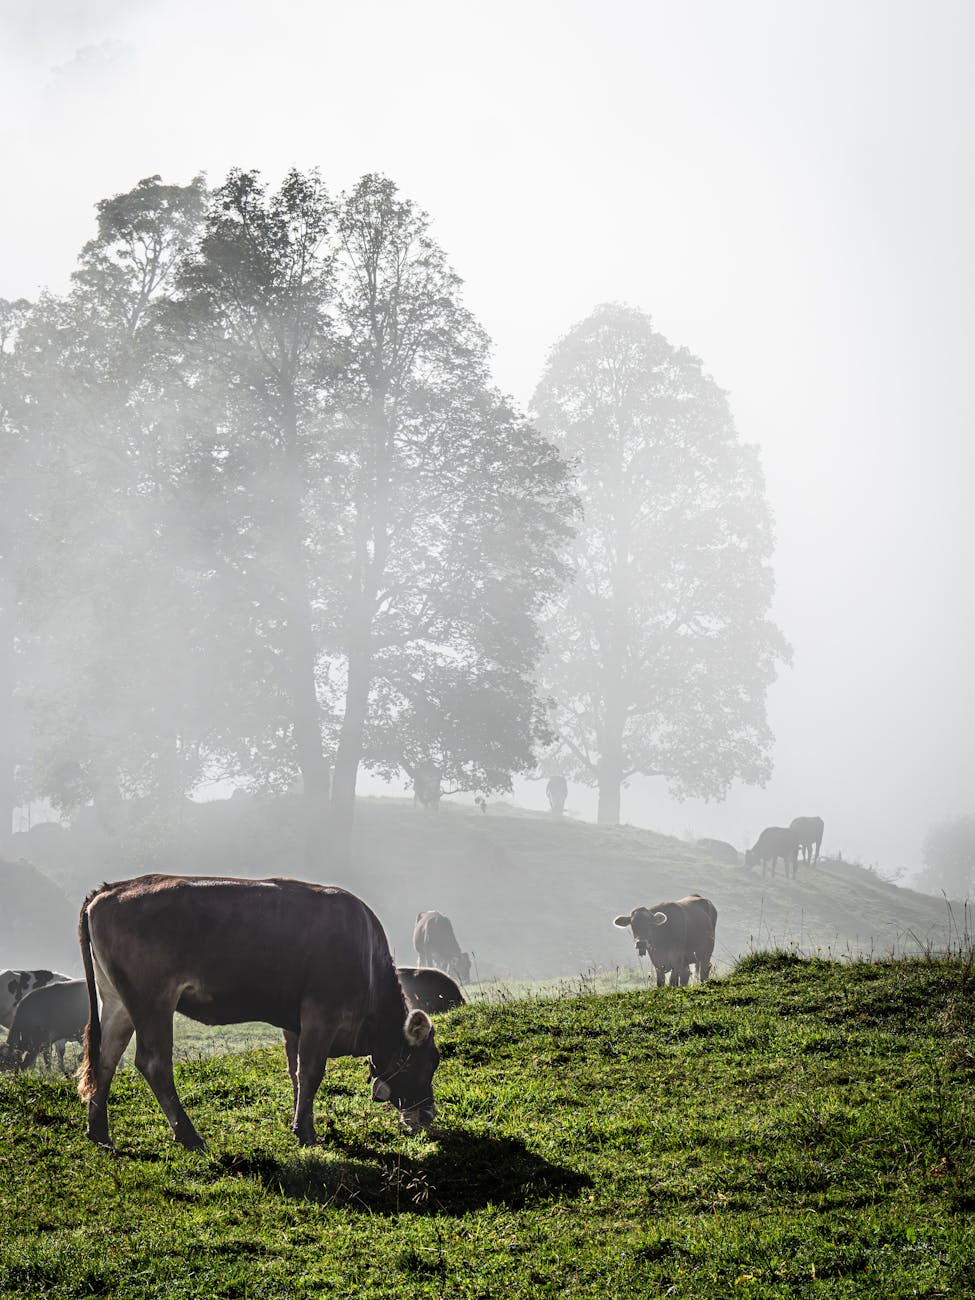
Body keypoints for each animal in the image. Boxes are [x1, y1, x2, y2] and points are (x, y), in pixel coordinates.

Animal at [77, 875, 439, 1152]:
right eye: (426, 1062)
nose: (429, 1115)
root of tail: (110, 889)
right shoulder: (322, 1012)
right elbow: (311, 1072)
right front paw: (306, 1134)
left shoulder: (296, 1023)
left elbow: (295, 1073)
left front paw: (300, 1124)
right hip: (153, 1000)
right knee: (154, 1063)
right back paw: (189, 1136)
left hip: (118, 1002)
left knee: (105, 1059)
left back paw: (99, 1133)